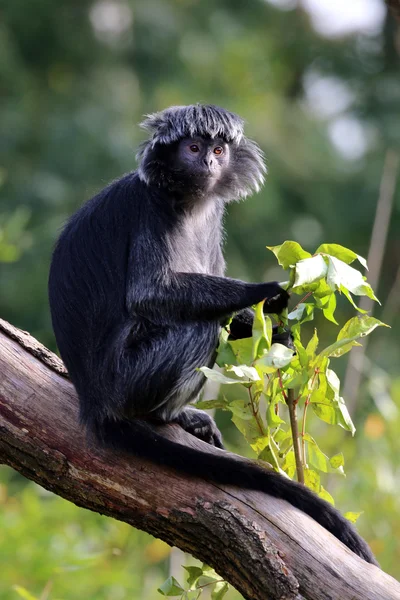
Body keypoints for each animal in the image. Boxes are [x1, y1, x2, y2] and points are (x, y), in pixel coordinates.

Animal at [48, 101, 376, 564]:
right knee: (201, 327)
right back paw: (166, 416)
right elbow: (149, 293)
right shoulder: (151, 207)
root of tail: (94, 403)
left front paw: (281, 338)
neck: (188, 202)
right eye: (193, 147)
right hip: (129, 379)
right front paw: (270, 292)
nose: (207, 162)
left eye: (219, 150)